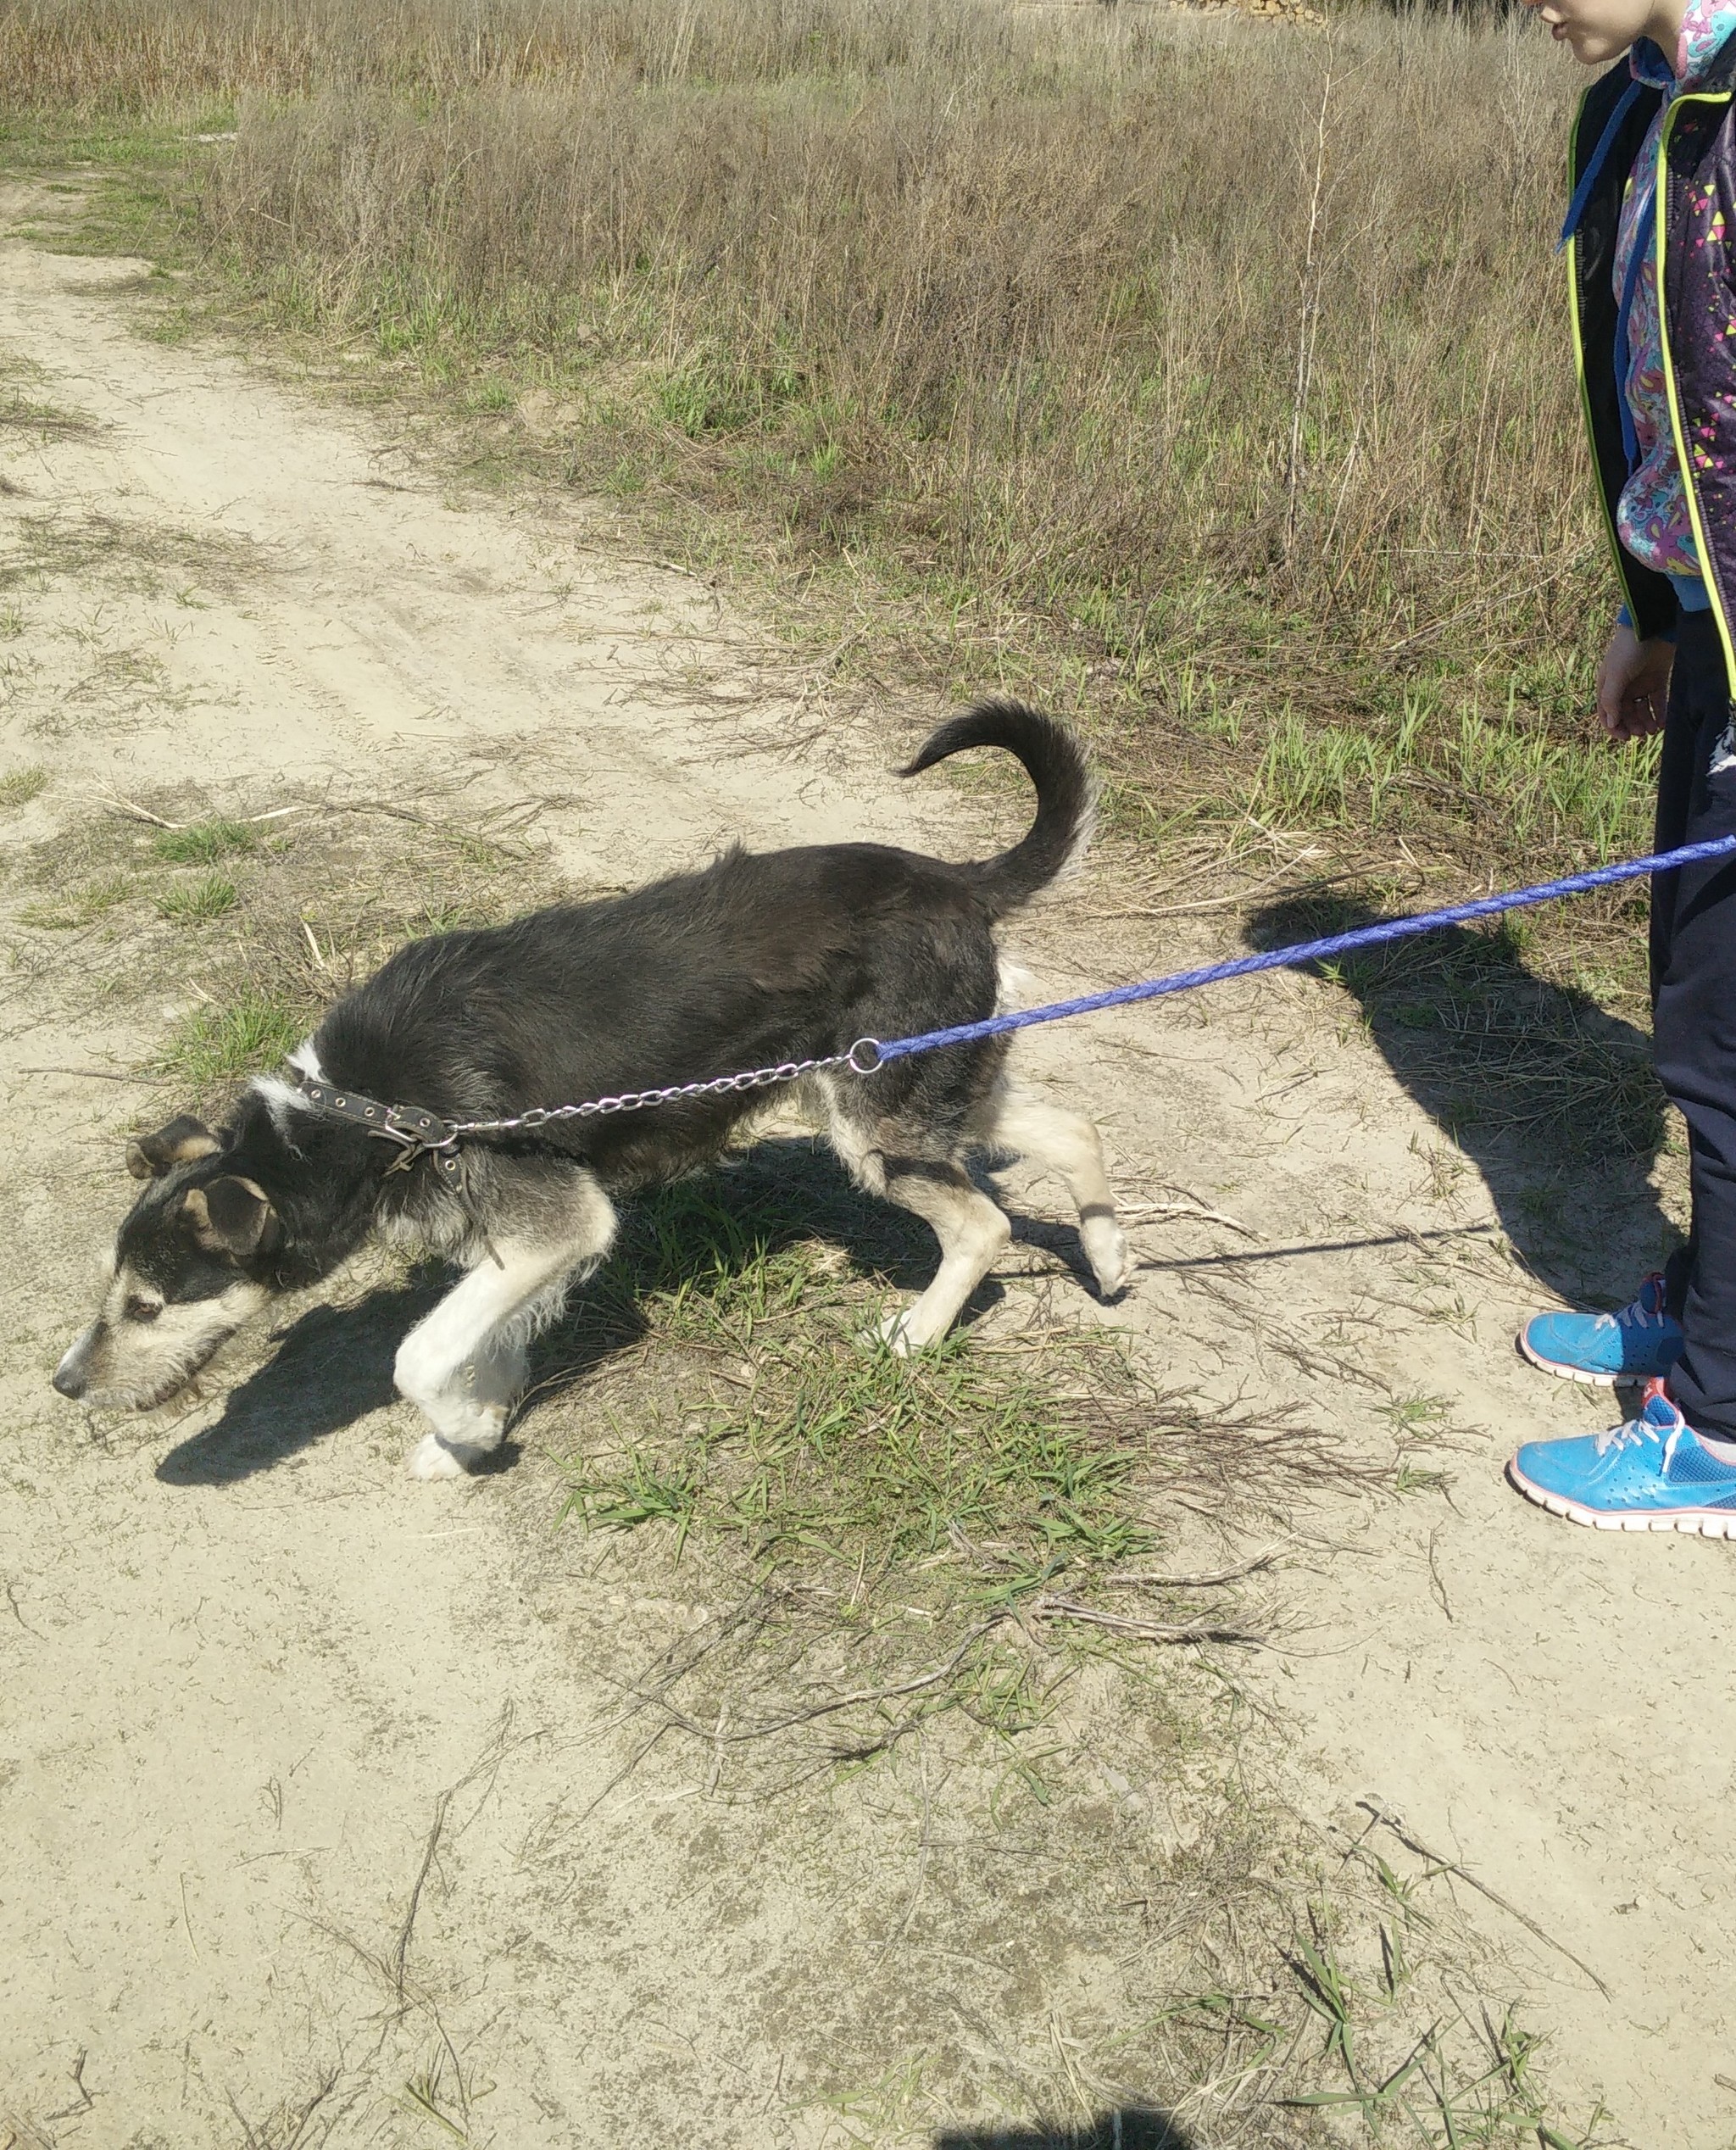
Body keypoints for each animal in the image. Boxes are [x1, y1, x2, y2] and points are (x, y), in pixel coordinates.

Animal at [50, 705, 1126, 1479]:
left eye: (146, 1304)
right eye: (116, 1291)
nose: (63, 1384)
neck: (355, 1114)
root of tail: (957, 880)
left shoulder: (558, 1220)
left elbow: (417, 1356)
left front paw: (463, 1425)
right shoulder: (519, 1242)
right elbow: (482, 1338)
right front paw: (476, 1426)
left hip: (879, 1121)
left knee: (985, 1224)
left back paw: (913, 1335)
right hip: (914, 1092)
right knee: (1072, 1127)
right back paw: (1111, 1258)